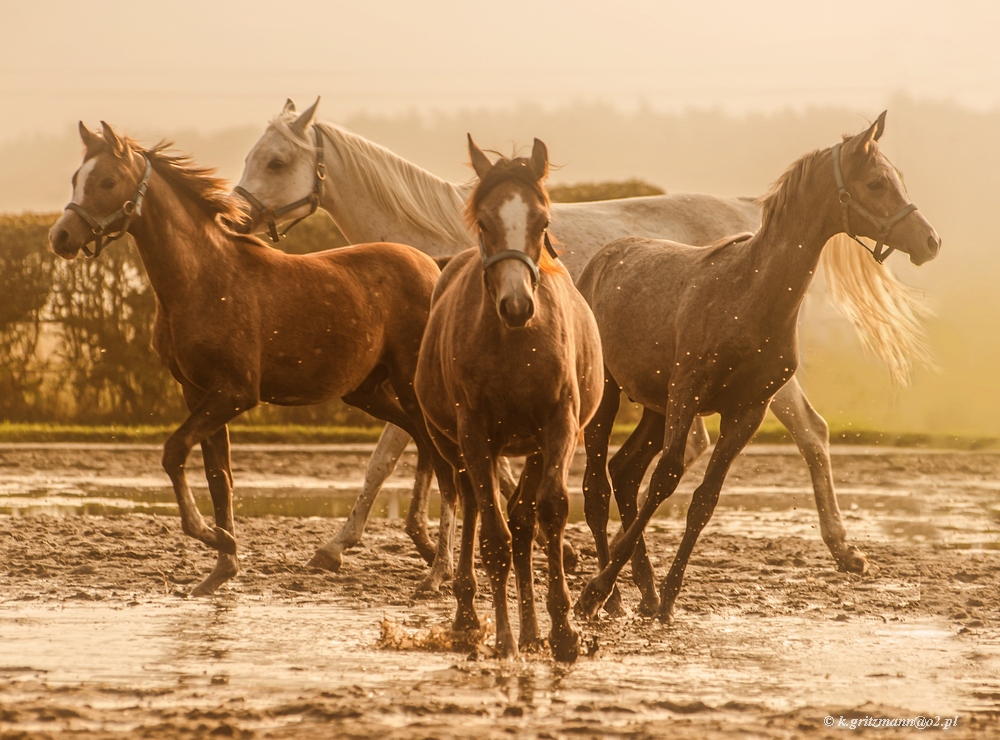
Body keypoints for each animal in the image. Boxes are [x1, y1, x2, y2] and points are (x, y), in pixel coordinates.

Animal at [48, 122, 456, 596]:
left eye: (108, 182)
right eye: (77, 177)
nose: (61, 237)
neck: (203, 278)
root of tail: (436, 268)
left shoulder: (235, 393)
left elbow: (174, 451)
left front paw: (215, 538)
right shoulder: (198, 393)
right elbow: (218, 477)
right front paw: (221, 569)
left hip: (409, 386)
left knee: (446, 462)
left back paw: (438, 572)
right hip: (369, 392)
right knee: (427, 447)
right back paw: (426, 551)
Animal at [234, 97, 932, 582]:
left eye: (275, 160)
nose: (235, 216)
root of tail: (746, 213)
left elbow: (395, 457)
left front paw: (359, 547)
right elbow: (410, 458)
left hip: (754, 392)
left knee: (808, 434)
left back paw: (842, 548)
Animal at [415, 137, 602, 661]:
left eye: (542, 221)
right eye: (484, 222)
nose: (517, 306)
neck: (518, 343)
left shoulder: (558, 426)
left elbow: (550, 511)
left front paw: (563, 629)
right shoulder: (474, 434)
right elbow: (494, 538)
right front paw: (503, 639)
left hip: (533, 446)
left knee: (522, 519)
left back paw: (533, 628)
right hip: (456, 447)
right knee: (475, 507)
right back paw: (469, 615)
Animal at [574, 112, 941, 624]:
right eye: (876, 182)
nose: (930, 240)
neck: (745, 294)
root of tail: (600, 261)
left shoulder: (747, 411)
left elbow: (704, 501)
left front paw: (669, 598)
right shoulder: (687, 395)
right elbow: (666, 480)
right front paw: (599, 590)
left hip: (652, 405)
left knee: (624, 473)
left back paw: (643, 590)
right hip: (609, 395)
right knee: (596, 487)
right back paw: (607, 597)